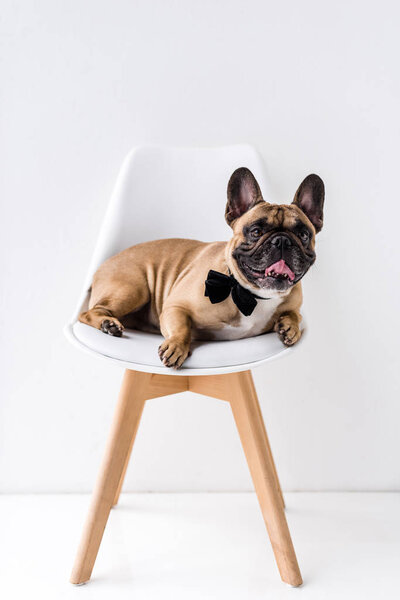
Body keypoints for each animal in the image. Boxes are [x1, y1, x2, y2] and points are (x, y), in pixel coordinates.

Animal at [79, 166, 324, 368]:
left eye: (304, 235)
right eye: (256, 232)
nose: (282, 241)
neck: (252, 296)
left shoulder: (294, 304)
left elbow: (294, 314)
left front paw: (290, 327)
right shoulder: (175, 307)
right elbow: (181, 327)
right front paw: (176, 345)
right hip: (132, 288)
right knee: (88, 312)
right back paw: (108, 324)